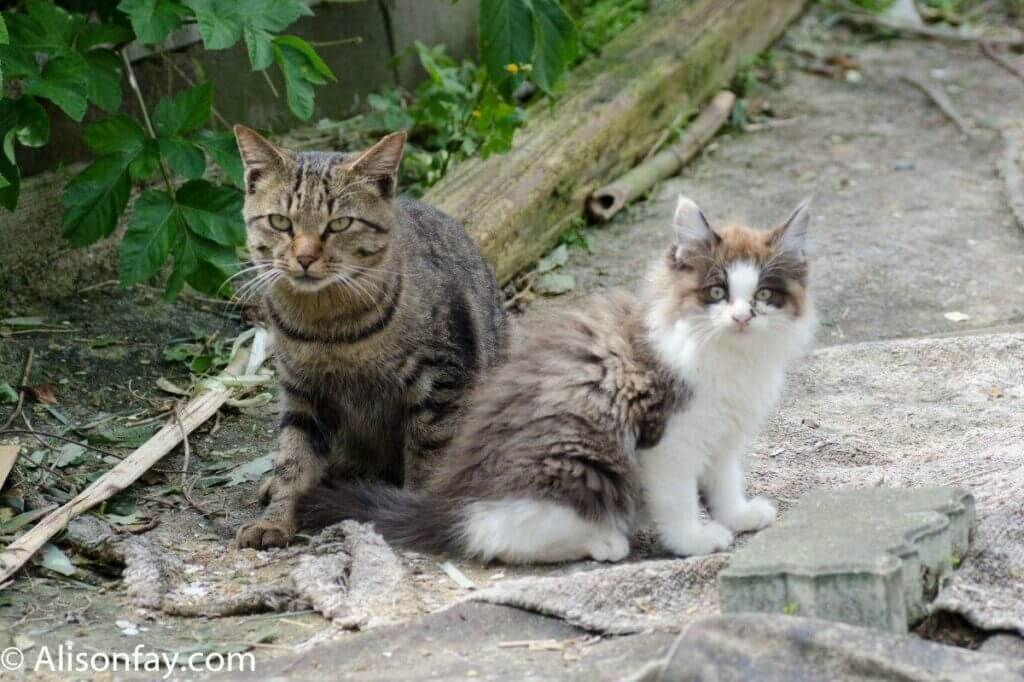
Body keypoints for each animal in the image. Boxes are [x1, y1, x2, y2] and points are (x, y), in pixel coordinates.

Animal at [230, 124, 505, 548]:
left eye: (340, 224)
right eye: (280, 222)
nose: (304, 258)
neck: (328, 328)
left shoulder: (441, 380)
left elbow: (428, 454)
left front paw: (411, 512)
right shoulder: (301, 391)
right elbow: (295, 457)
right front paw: (277, 517)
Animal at [296, 193, 815, 561]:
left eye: (764, 295)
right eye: (716, 292)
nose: (742, 317)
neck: (729, 357)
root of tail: (448, 500)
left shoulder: (725, 433)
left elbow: (725, 480)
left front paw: (738, 515)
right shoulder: (668, 438)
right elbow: (678, 497)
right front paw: (694, 539)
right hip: (580, 463)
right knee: (494, 534)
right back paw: (605, 542)